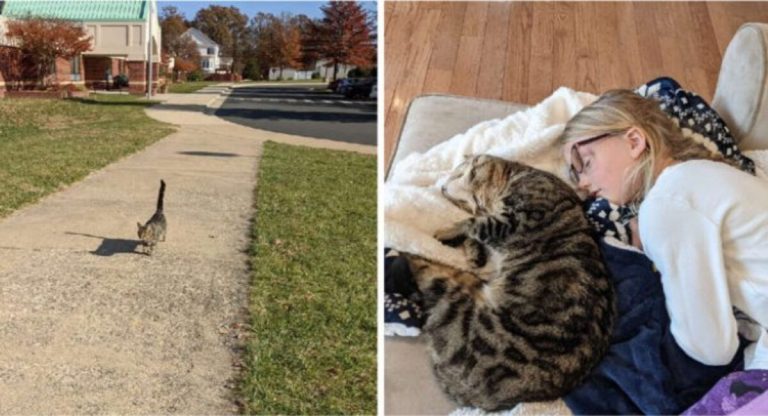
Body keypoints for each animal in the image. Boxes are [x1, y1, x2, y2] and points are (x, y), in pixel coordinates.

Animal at [400, 155, 616, 410]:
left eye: (470, 176)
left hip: (456, 305)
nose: (444, 188)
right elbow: (476, 232)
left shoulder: (516, 218)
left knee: (427, 270)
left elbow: (473, 222)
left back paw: (410, 249)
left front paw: (451, 231)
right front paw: (473, 251)